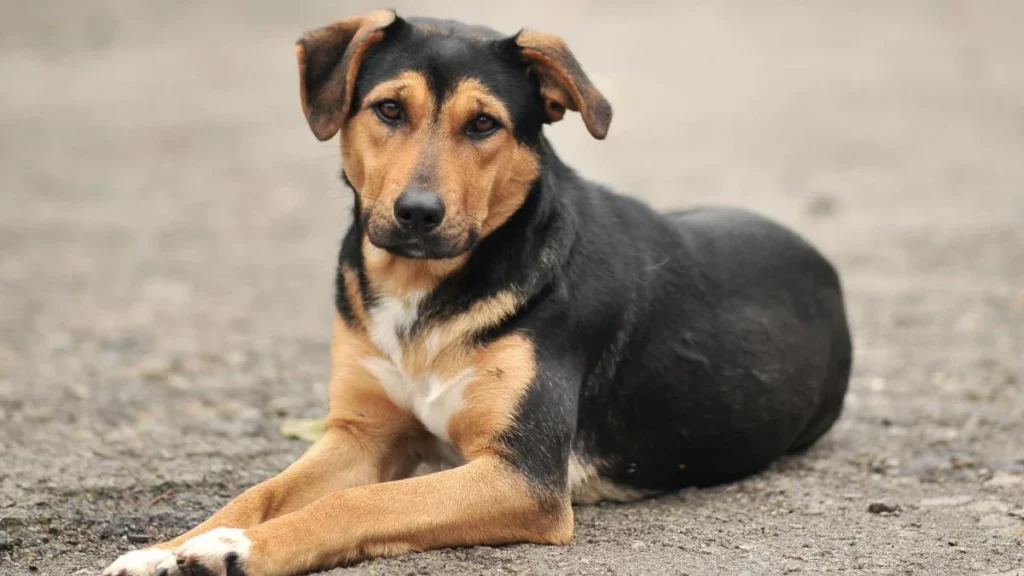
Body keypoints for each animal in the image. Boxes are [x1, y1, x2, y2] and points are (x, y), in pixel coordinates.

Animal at [105, 10, 856, 573]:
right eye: (388, 109)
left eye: (484, 124)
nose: (417, 213)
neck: (421, 295)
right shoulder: (362, 432)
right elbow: (259, 492)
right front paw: (167, 549)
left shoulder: (522, 475)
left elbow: (361, 505)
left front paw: (234, 551)